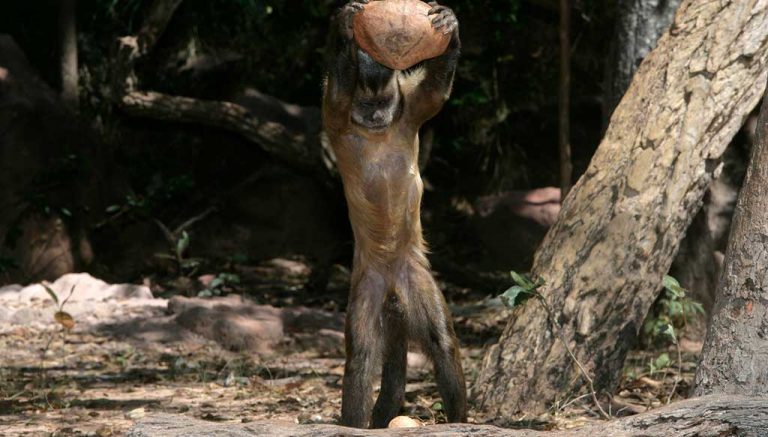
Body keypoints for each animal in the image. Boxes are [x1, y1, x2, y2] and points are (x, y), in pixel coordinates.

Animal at [322, 0, 466, 429]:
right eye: (366, 106)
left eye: (381, 104)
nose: (374, 118)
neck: (377, 130)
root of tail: (390, 286)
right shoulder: (335, 119)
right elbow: (338, 93)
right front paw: (343, 27)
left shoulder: (409, 112)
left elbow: (436, 94)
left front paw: (449, 27)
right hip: (367, 282)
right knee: (362, 358)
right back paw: (353, 425)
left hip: (411, 273)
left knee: (441, 341)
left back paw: (460, 420)